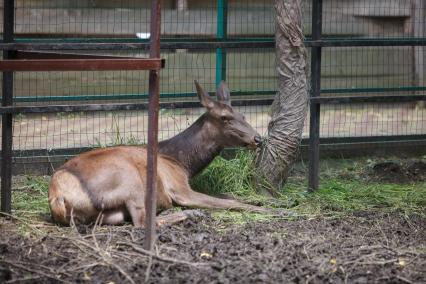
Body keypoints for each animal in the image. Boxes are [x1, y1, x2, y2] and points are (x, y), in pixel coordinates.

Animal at [49, 80, 270, 226]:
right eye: (225, 118)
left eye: (242, 115)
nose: (258, 139)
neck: (183, 164)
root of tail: (57, 195)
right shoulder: (180, 188)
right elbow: (229, 202)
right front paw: (271, 208)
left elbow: (230, 196)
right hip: (131, 182)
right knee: (142, 222)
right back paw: (191, 214)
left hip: (108, 213)